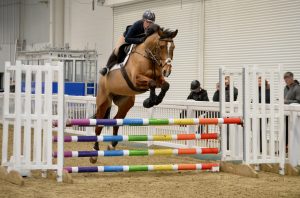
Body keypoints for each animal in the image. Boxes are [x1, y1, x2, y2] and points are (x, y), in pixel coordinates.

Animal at [90, 25, 177, 164]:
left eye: (173, 47)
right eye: (162, 46)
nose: (167, 71)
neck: (149, 56)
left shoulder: (159, 79)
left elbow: (165, 85)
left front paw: (153, 101)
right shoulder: (136, 79)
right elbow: (152, 83)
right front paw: (150, 101)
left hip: (126, 102)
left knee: (116, 120)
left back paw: (112, 145)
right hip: (104, 101)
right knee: (99, 125)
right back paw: (94, 154)